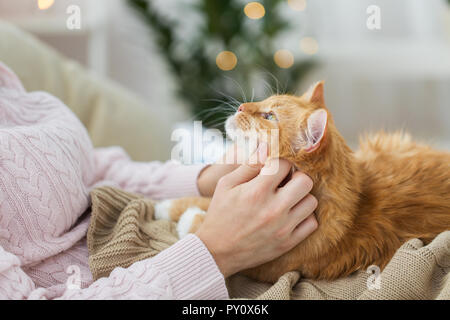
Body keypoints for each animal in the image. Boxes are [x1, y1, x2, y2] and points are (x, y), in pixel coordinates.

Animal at [156, 81, 450, 282]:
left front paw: (187, 219)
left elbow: (202, 219)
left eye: (269, 116)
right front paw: (167, 205)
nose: (240, 106)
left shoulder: (261, 264)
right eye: (263, 102)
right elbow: (206, 198)